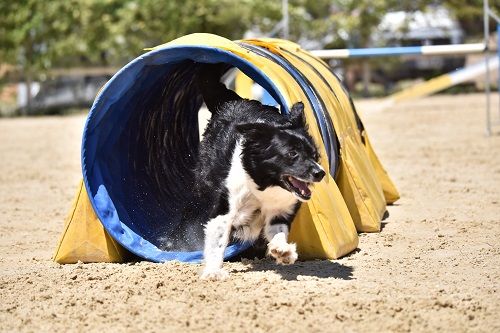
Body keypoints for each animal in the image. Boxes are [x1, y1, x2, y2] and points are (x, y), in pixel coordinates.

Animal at [171, 64, 324, 278]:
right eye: (292, 153)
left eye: (315, 154)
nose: (320, 173)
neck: (263, 184)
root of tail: (231, 100)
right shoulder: (225, 208)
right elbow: (218, 240)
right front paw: (213, 272)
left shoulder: (280, 211)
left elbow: (278, 232)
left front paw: (283, 251)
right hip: (204, 183)